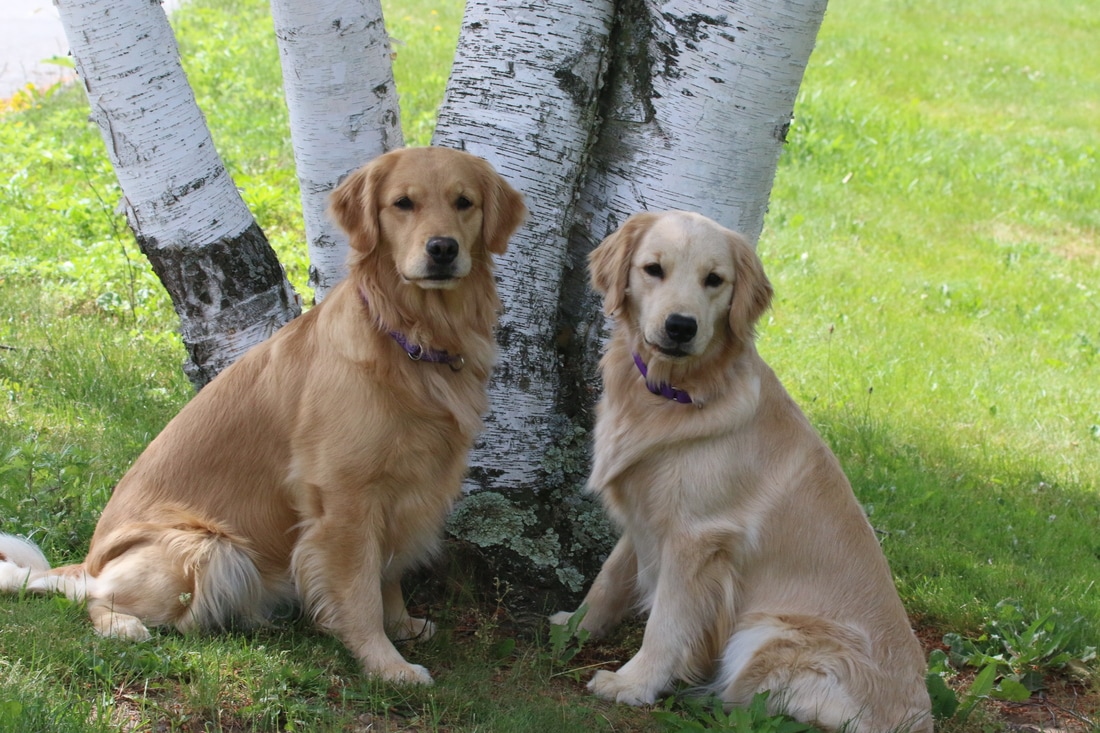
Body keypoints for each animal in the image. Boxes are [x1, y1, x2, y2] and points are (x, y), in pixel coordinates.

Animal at [0, 145, 528, 682]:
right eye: (403, 203)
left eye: (463, 202)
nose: (442, 249)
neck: (412, 338)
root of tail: (89, 563)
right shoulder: (345, 499)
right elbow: (360, 591)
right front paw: (385, 665)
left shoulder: (407, 490)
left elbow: (389, 575)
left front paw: (402, 626)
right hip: (211, 550)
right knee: (98, 600)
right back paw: (126, 625)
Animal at [550, 208, 928, 726]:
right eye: (653, 269)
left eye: (714, 280)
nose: (681, 326)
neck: (674, 393)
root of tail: (920, 717)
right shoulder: (645, 517)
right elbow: (607, 580)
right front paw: (575, 628)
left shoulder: (697, 537)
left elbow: (666, 622)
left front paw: (633, 683)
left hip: (764, 635)